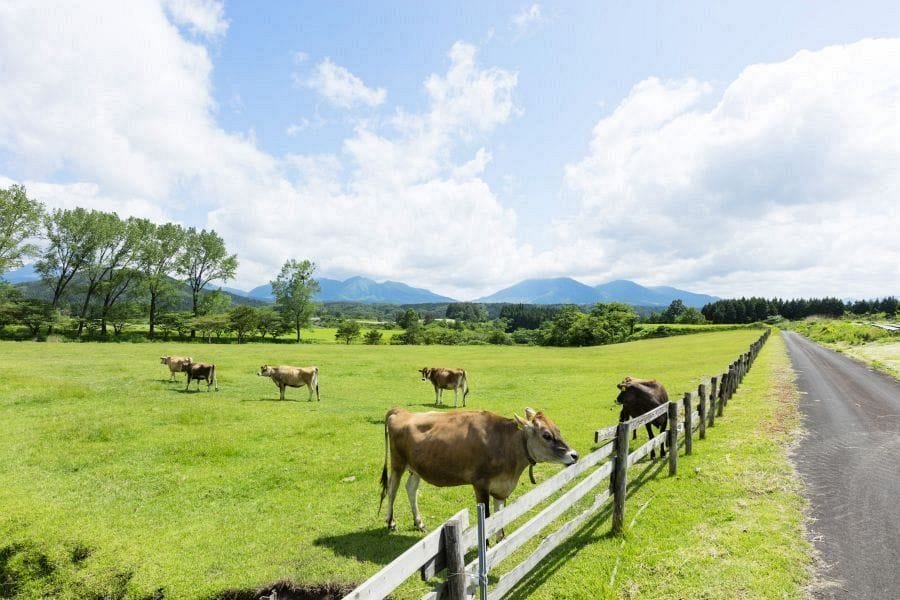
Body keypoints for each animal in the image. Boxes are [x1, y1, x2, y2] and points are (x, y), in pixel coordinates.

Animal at [379, 407, 578, 535]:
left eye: (557, 429)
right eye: (546, 435)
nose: (574, 455)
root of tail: (401, 411)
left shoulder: (501, 489)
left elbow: (500, 522)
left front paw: (500, 544)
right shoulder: (480, 485)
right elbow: (488, 519)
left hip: (416, 468)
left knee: (411, 488)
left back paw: (419, 523)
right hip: (398, 463)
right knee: (392, 489)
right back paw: (390, 522)